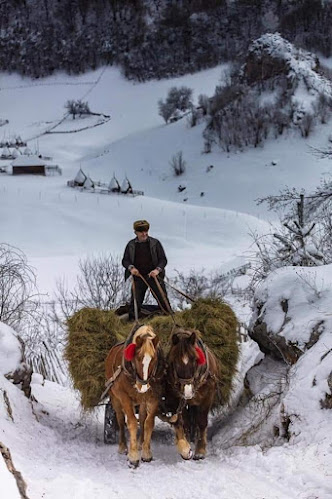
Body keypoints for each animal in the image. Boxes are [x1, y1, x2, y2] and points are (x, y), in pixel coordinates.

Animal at [105, 324, 164, 468]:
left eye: (154, 358)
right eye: (138, 357)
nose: (142, 386)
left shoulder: (154, 397)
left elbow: (148, 422)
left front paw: (146, 452)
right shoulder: (124, 397)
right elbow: (131, 422)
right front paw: (133, 457)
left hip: (141, 400)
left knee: (142, 418)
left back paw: (139, 443)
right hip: (115, 398)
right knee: (121, 419)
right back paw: (123, 446)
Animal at [165, 330, 219, 462]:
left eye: (195, 359)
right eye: (175, 361)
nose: (188, 392)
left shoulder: (207, 397)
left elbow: (202, 422)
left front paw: (200, 451)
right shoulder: (178, 399)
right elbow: (184, 423)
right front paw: (186, 448)